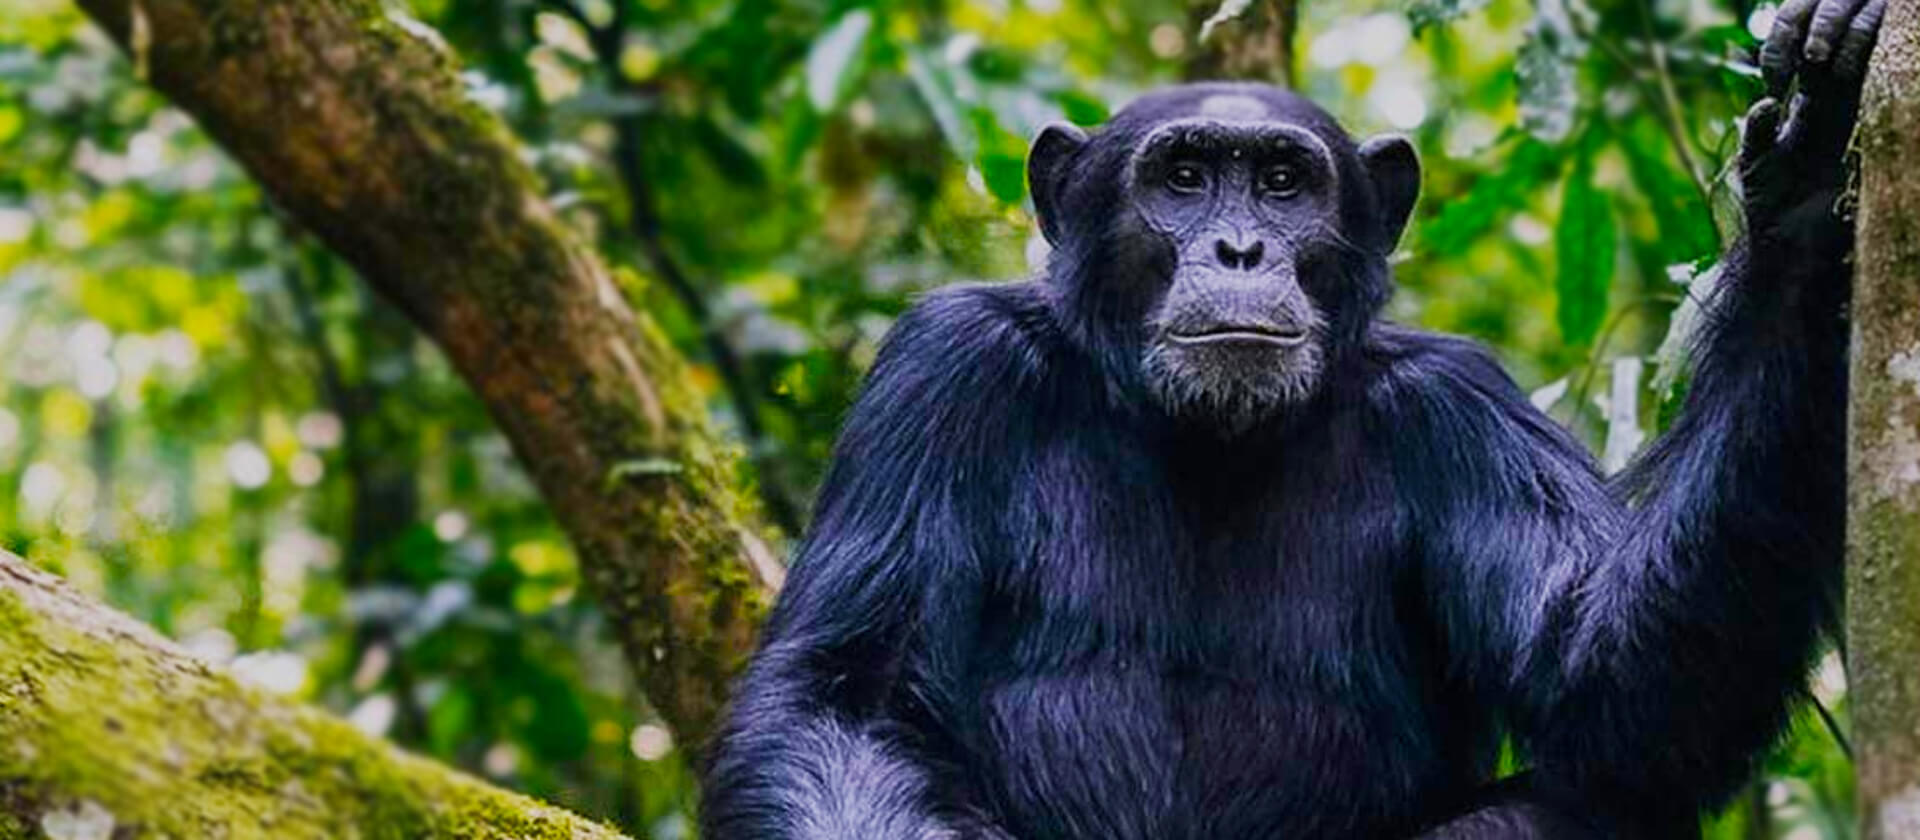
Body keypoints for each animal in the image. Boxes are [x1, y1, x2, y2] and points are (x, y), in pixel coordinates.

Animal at [706, 3, 1889, 836]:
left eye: (1282, 182)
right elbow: (846, 697)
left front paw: (1807, 173)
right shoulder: (945, 373)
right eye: (1185, 176)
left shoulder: (1458, 411)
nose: (1240, 249)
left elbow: (1609, 689)